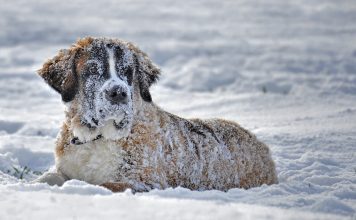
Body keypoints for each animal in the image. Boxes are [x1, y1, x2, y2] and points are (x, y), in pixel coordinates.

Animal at [35, 37, 278, 192]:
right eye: (93, 70)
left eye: (128, 71)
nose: (118, 93)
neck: (98, 137)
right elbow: (47, 177)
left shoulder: (146, 181)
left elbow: (106, 185)